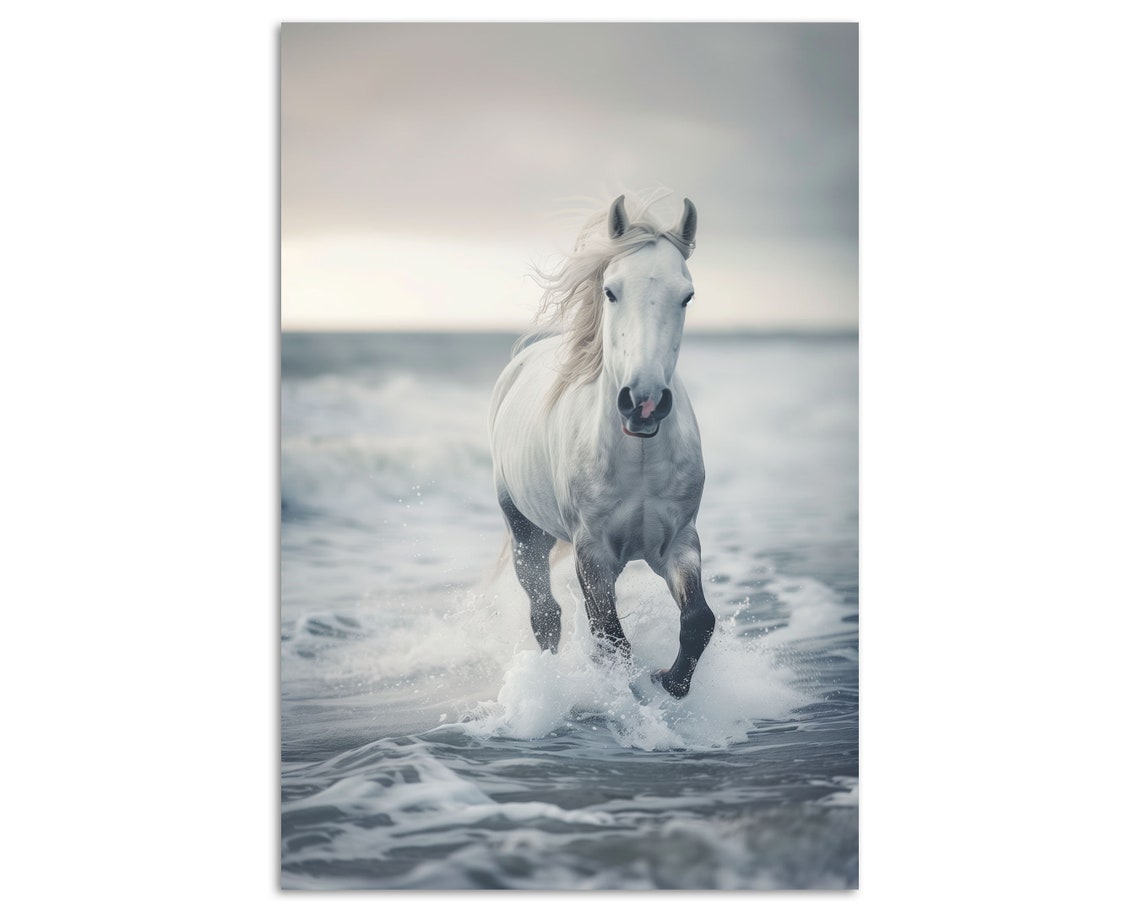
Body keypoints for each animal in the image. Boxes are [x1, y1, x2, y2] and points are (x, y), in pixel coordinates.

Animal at [489, 193, 715, 698]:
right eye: (611, 291)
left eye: (686, 295)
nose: (644, 402)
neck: (639, 458)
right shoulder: (592, 553)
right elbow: (610, 638)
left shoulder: (679, 542)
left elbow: (698, 621)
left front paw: (668, 682)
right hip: (524, 533)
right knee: (545, 615)